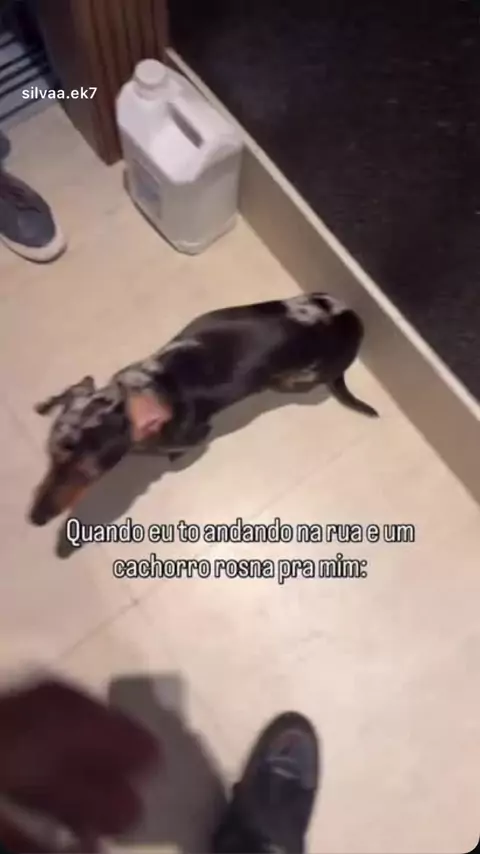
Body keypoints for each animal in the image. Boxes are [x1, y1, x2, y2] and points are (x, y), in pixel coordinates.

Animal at [29, 293, 378, 526]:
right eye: (51, 458)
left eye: (88, 474)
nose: (35, 518)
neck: (155, 385)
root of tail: (352, 318)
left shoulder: (198, 435)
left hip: (304, 375)